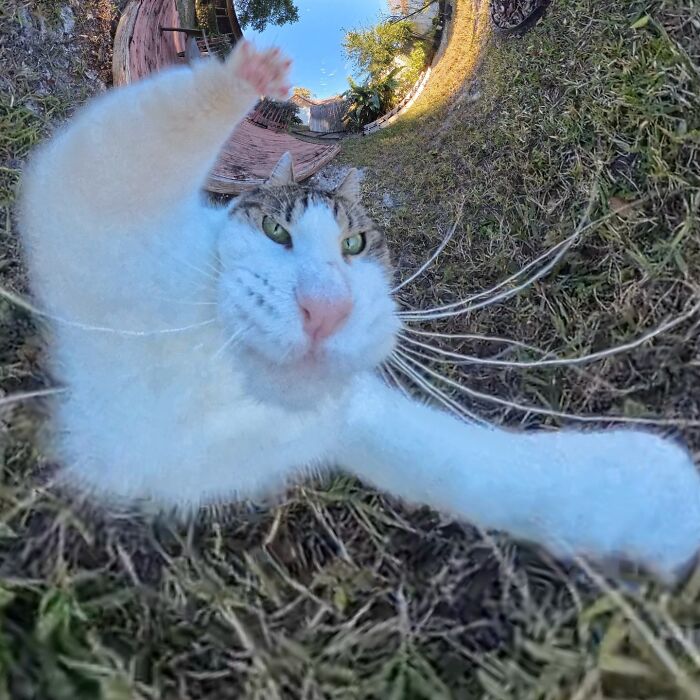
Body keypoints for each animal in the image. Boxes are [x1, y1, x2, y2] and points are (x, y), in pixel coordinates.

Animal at [15, 41, 700, 584]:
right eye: (275, 231)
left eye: (355, 245)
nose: (327, 308)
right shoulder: (100, 216)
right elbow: (125, 145)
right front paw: (245, 76)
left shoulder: (342, 418)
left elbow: (464, 458)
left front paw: (639, 494)